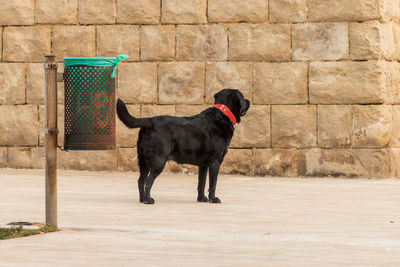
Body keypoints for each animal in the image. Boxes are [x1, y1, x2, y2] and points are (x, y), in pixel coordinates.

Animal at [115, 89, 250, 204]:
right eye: (243, 97)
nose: (249, 101)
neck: (222, 114)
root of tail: (149, 121)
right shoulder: (215, 162)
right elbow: (213, 184)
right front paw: (213, 199)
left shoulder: (203, 165)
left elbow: (201, 183)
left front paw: (201, 199)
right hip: (158, 160)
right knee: (148, 181)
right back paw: (148, 200)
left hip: (143, 160)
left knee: (141, 180)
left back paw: (142, 199)